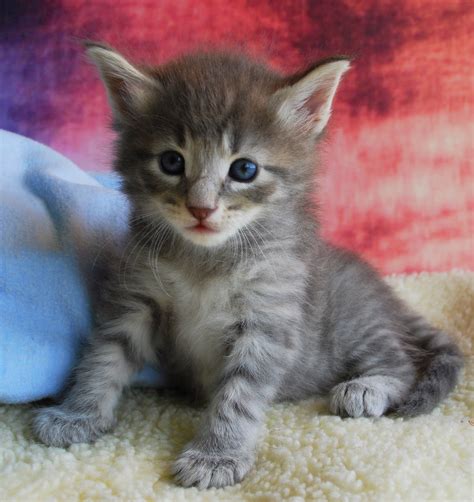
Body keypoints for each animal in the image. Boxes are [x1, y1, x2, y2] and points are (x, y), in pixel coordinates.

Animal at [33, 44, 462, 490]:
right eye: (171, 162)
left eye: (244, 169)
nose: (201, 208)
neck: (205, 259)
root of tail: (386, 295)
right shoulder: (136, 298)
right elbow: (104, 356)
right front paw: (78, 413)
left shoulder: (267, 319)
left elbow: (239, 394)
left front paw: (216, 454)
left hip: (357, 325)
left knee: (401, 363)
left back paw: (367, 389)